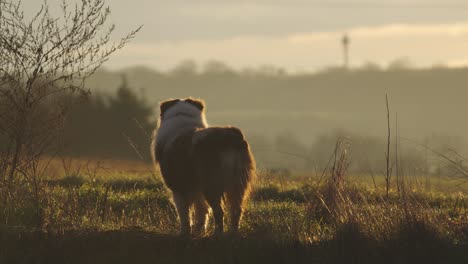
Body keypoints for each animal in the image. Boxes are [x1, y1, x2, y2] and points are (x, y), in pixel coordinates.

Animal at [152, 98, 256, 236]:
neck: (182, 116)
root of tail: (230, 137)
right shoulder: (197, 190)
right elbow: (202, 211)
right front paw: (199, 231)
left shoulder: (179, 189)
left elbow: (184, 214)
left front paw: (184, 233)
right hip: (238, 184)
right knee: (236, 210)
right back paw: (232, 233)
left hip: (212, 184)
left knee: (219, 211)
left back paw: (218, 234)